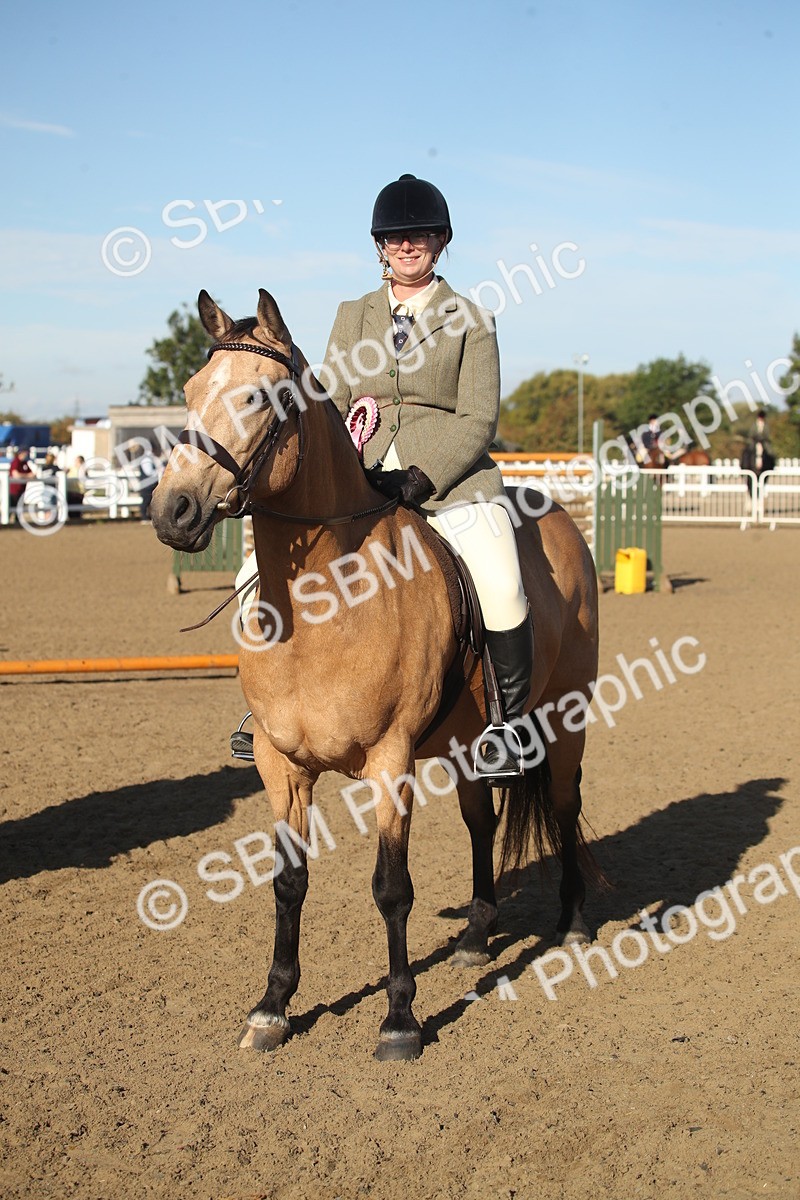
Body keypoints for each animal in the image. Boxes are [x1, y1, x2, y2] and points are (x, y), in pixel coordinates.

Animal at [151, 288, 600, 1061]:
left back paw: (571, 923)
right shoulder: (281, 764)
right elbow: (288, 882)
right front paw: (273, 1006)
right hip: (464, 742)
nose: (173, 511)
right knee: (480, 819)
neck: (324, 602)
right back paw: (477, 937)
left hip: (565, 717)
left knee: (564, 805)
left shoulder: (391, 761)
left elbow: (392, 888)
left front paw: (399, 1021)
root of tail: (560, 517)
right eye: (188, 391)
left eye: (260, 396)